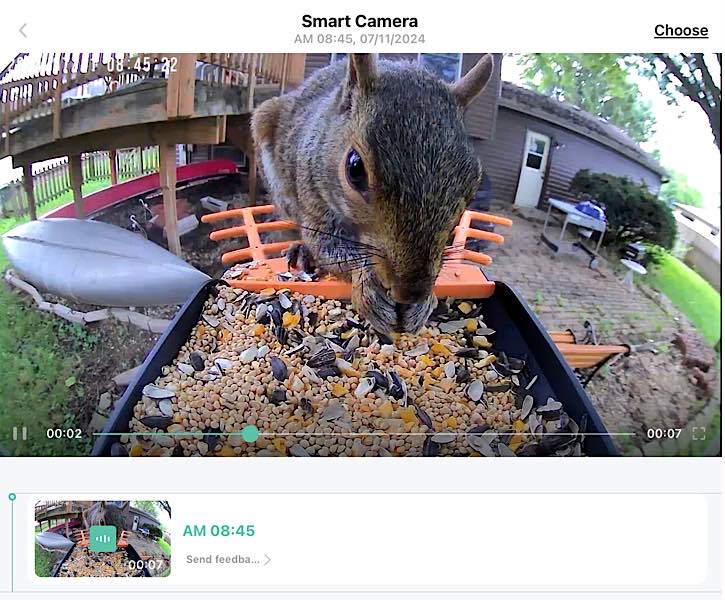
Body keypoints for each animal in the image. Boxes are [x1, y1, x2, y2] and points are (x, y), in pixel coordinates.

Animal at [251, 54, 493, 334]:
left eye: (473, 184)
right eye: (354, 169)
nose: (410, 292)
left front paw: (425, 304)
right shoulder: (315, 206)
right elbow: (329, 247)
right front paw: (366, 285)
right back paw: (301, 250)